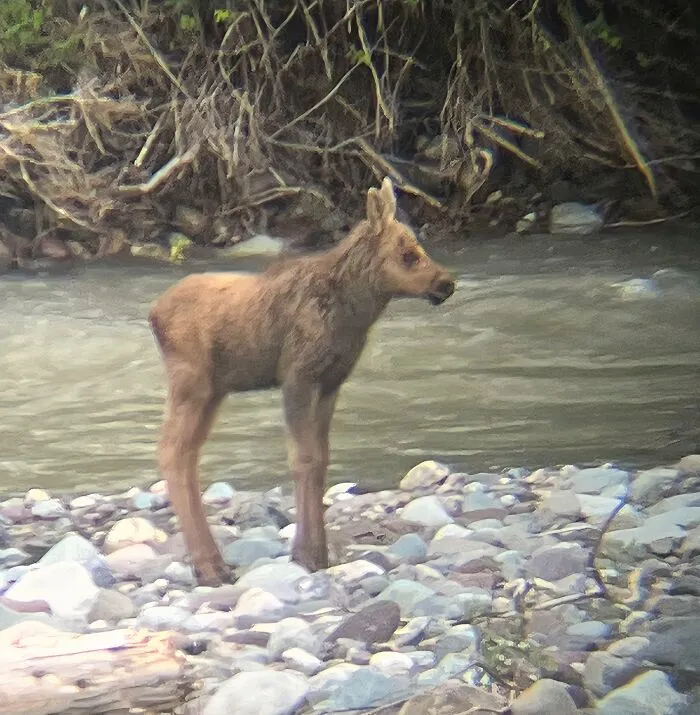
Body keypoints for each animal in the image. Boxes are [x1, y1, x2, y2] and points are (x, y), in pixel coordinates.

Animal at [148, 177, 456, 586]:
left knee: (187, 454)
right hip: (191, 382)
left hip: (215, 390)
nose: (446, 284)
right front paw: (306, 555)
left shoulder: (331, 383)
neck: (354, 314)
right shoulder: (297, 376)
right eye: (408, 254)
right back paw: (209, 566)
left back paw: (212, 563)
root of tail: (153, 314)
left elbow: (321, 459)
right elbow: (303, 459)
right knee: (171, 451)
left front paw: (318, 553)